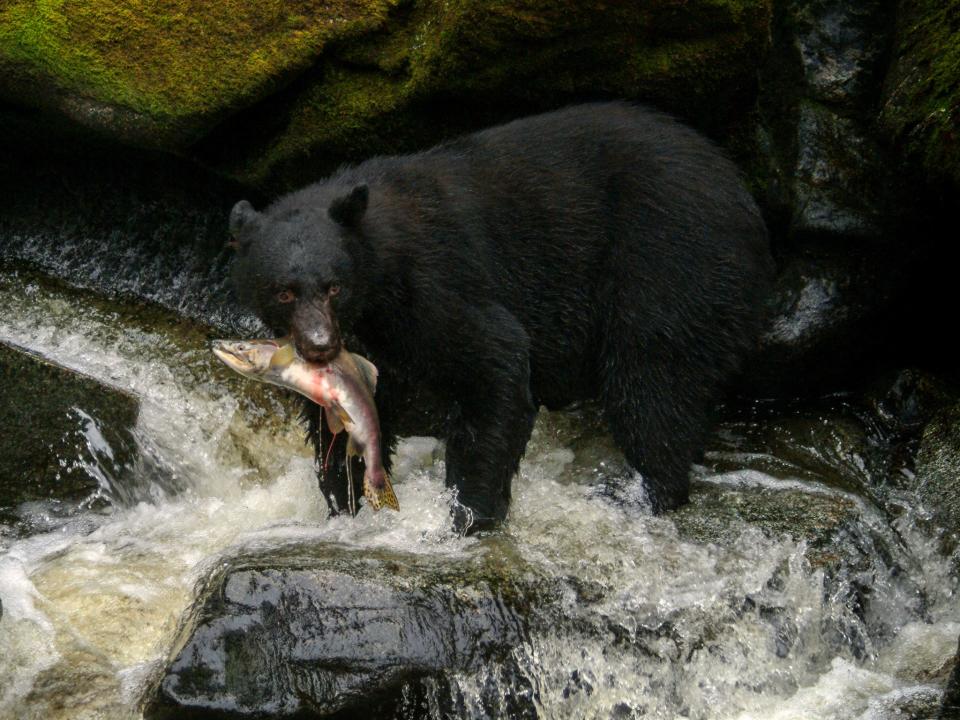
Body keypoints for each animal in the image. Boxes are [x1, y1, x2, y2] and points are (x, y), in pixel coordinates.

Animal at [231, 100, 772, 528]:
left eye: (334, 286)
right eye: (284, 292)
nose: (319, 346)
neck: (380, 269)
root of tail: (743, 198)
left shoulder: (435, 284)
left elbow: (495, 363)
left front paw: (470, 514)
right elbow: (342, 417)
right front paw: (345, 505)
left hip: (668, 263)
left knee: (651, 379)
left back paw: (638, 493)